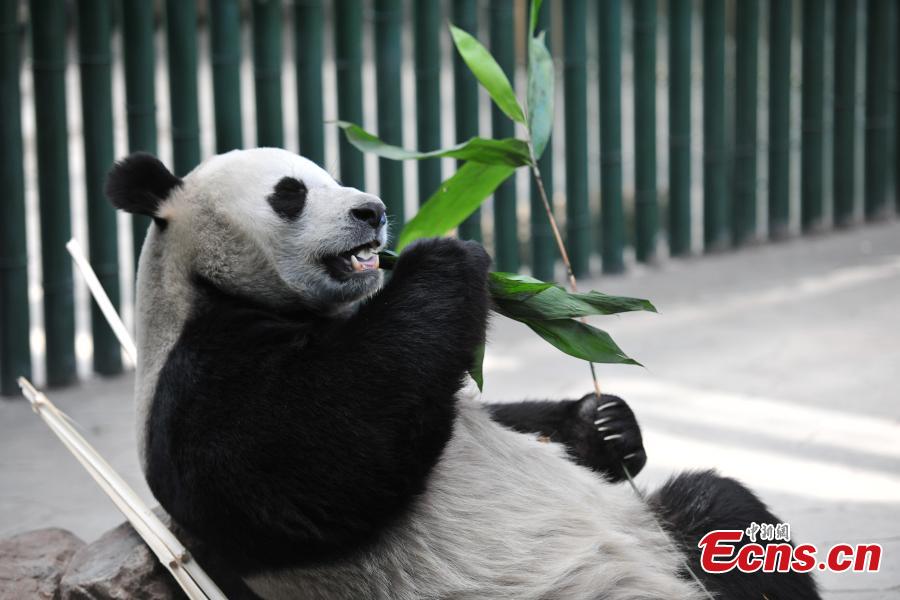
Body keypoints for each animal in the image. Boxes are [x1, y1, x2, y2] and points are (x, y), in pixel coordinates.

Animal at [106, 148, 820, 600]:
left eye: (330, 174)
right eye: (291, 192)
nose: (372, 210)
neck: (207, 288)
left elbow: (481, 411)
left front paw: (607, 425)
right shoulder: (195, 375)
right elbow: (311, 453)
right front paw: (450, 258)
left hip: (665, 537)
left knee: (722, 517)